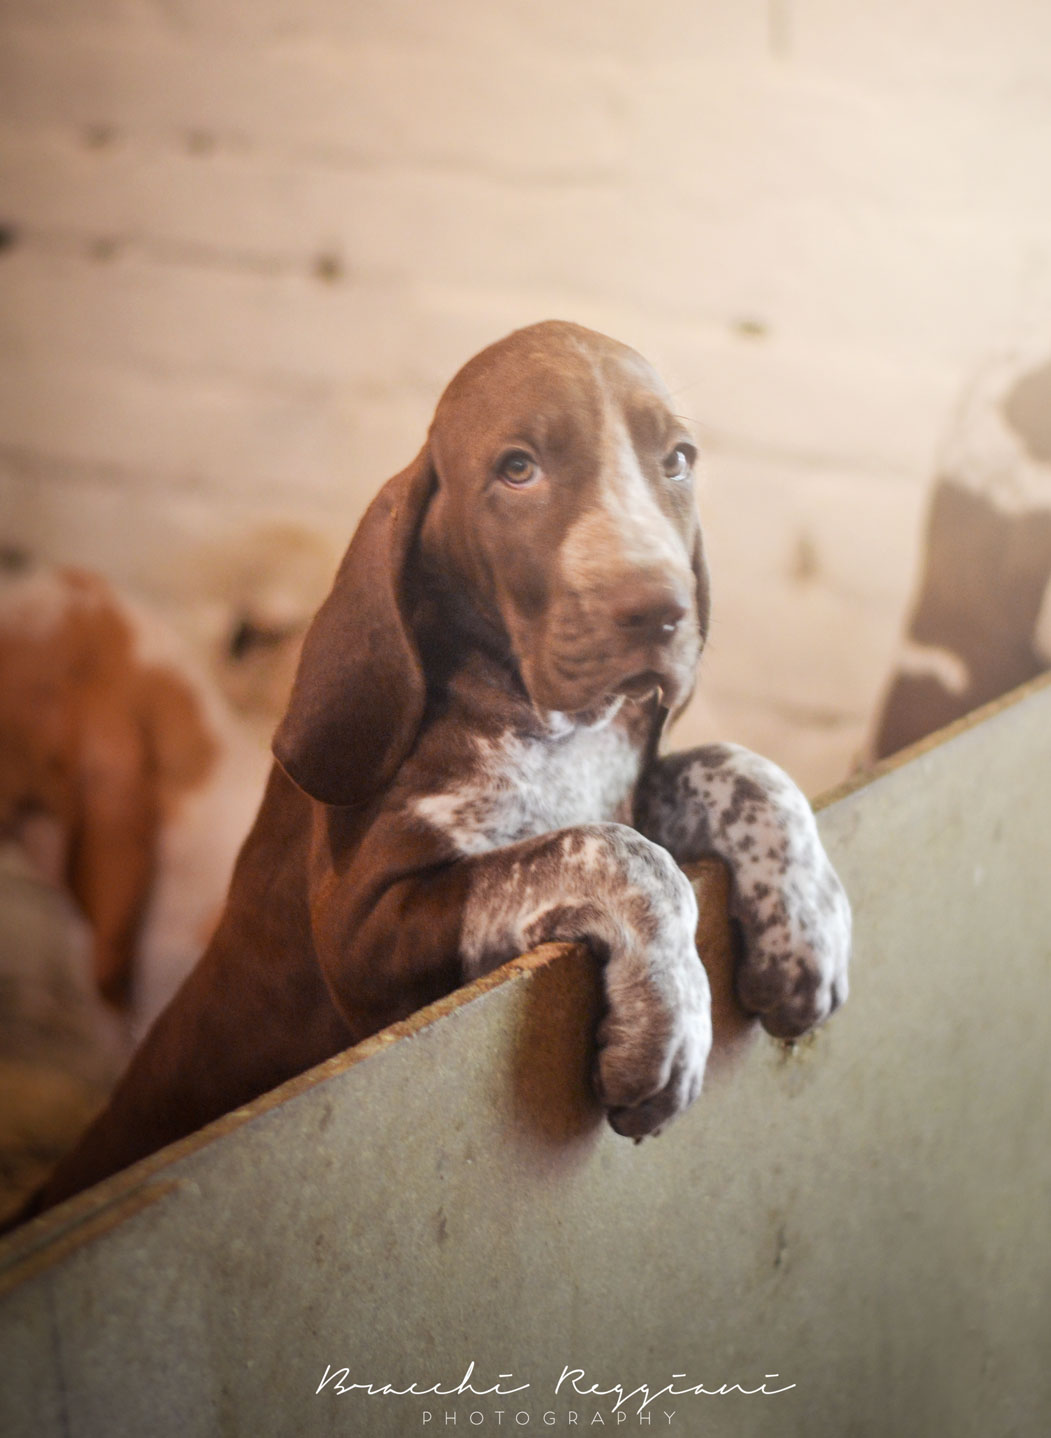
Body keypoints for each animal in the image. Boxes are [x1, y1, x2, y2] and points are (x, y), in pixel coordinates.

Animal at [22, 321, 852, 1219]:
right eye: (517, 468)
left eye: (676, 460)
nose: (659, 611)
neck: (548, 726)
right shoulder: (363, 936)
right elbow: (619, 856)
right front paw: (669, 1022)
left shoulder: (624, 790)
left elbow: (740, 771)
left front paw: (807, 921)